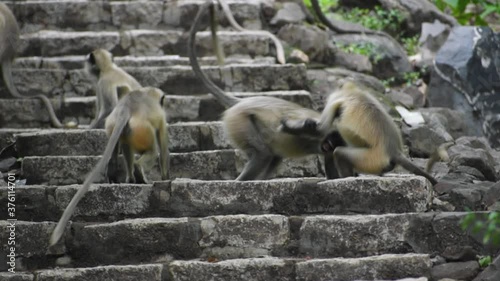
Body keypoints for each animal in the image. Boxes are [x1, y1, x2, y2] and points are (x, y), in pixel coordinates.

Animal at [49, 86, 170, 246]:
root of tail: (125, 108)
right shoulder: (161, 118)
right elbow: (163, 149)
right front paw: (165, 178)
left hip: (114, 126)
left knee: (123, 147)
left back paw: (127, 178)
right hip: (143, 130)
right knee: (152, 151)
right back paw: (138, 172)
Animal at [189, 0, 342, 179]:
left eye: (331, 145)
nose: (327, 146)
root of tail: (244, 102)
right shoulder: (319, 129)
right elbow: (295, 125)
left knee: (273, 155)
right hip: (240, 121)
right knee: (263, 154)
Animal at [282, 80, 442, 186]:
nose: (326, 145)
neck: (353, 91)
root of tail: (394, 150)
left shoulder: (336, 99)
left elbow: (321, 128)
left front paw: (286, 127)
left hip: (371, 159)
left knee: (339, 153)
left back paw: (342, 179)